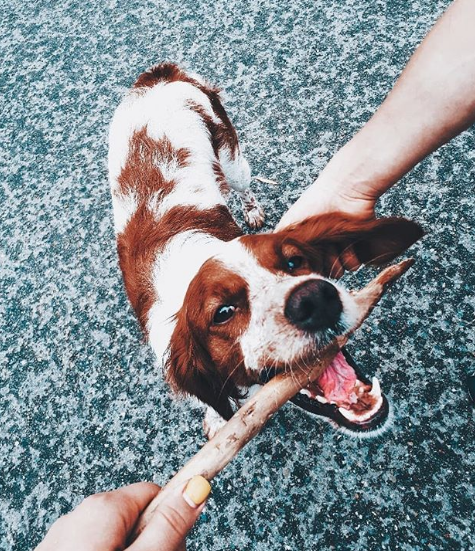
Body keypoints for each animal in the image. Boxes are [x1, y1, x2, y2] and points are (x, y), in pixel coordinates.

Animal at [109, 62, 424, 438]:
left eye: (293, 261)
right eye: (222, 312)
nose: (315, 299)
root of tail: (159, 75)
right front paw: (217, 419)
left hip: (232, 161)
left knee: (243, 187)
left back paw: (252, 211)